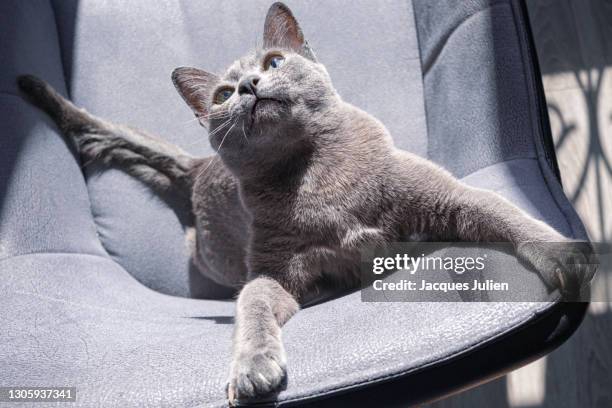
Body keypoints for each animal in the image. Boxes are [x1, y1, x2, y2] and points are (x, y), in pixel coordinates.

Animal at [17, 2, 592, 404]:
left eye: (274, 62)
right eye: (223, 94)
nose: (249, 86)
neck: (316, 176)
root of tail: (199, 167)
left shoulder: (445, 195)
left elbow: (502, 211)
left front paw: (565, 257)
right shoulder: (273, 271)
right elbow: (252, 306)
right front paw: (252, 370)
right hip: (218, 256)